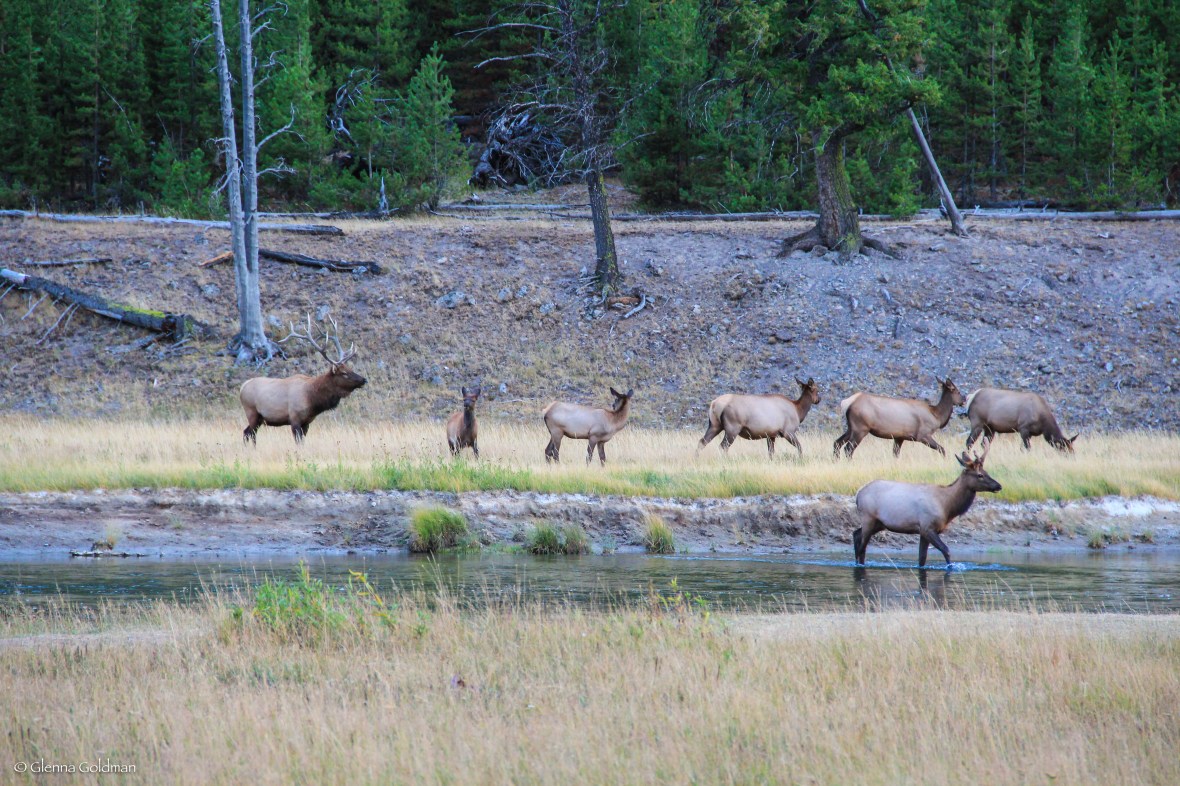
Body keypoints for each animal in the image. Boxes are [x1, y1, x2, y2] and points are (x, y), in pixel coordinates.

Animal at [239, 315, 366, 444]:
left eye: (350, 368)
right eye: (344, 373)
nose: (364, 380)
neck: (312, 399)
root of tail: (243, 387)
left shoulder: (307, 422)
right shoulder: (295, 418)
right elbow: (298, 443)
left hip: (259, 418)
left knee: (247, 433)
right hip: (251, 412)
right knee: (249, 433)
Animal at [833, 378, 964, 459]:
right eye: (957, 392)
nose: (964, 399)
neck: (937, 416)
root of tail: (847, 403)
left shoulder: (899, 437)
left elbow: (895, 455)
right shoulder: (923, 435)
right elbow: (942, 449)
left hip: (851, 428)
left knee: (837, 443)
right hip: (861, 428)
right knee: (848, 449)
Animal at [852, 438, 1001, 567]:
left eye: (986, 471)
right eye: (980, 475)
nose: (998, 486)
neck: (947, 507)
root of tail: (858, 494)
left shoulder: (924, 531)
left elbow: (922, 559)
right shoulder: (927, 527)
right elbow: (946, 550)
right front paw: (950, 567)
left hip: (879, 523)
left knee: (856, 535)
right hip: (868, 518)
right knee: (862, 547)